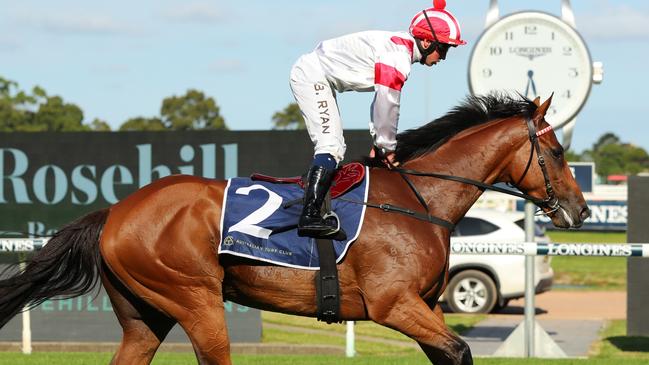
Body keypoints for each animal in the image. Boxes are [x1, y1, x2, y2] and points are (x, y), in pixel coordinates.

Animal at [0, 92, 588, 362]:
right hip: (195, 299)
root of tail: (116, 213)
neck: (420, 199)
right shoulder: (394, 305)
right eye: (558, 152)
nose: (580, 212)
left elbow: (449, 352)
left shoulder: (423, 307)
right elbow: (460, 350)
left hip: (146, 314)